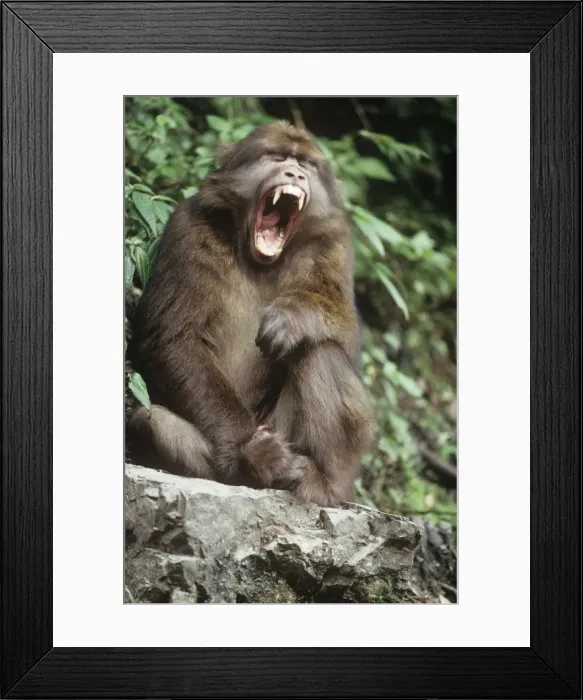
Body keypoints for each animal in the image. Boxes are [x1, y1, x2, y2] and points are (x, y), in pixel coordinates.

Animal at [127, 120, 375, 507]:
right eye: (276, 156)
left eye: (305, 163)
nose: (294, 173)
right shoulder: (189, 226)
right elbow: (172, 338)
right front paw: (253, 452)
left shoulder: (333, 243)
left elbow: (347, 337)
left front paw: (293, 317)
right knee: (148, 420)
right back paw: (248, 468)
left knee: (319, 351)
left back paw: (323, 484)